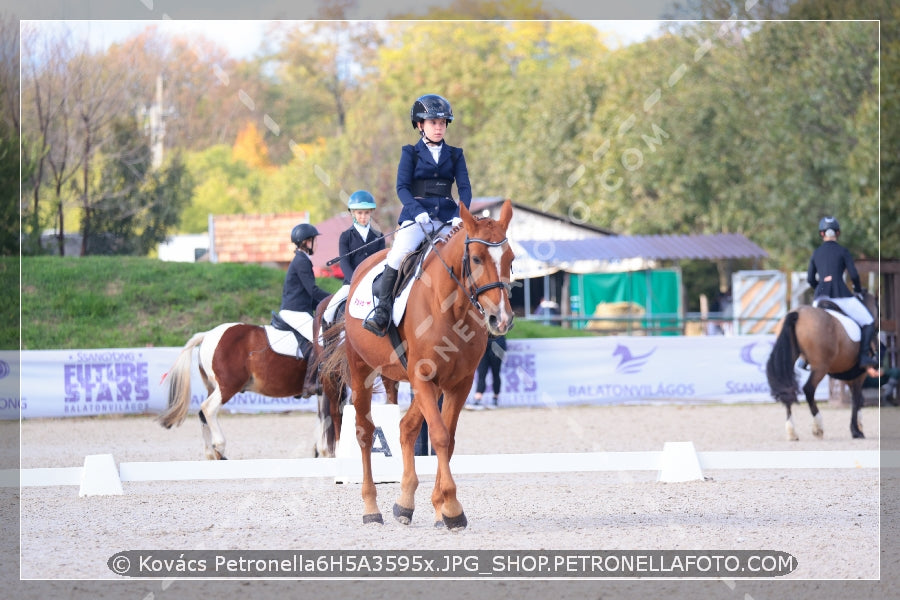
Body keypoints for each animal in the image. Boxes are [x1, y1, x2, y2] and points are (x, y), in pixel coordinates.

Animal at [160, 324, 314, 460]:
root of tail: (207, 334)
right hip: (228, 386)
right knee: (208, 408)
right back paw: (219, 448)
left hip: (213, 387)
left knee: (202, 414)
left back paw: (210, 453)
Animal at [318, 198, 512, 528]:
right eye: (475, 258)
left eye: (510, 258)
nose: (501, 319)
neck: (451, 308)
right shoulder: (423, 376)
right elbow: (439, 436)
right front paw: (453, 509)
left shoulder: (459, 383)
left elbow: (447, 438)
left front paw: (442, 507)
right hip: (362, 371)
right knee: (365, 432)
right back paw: (372, 508)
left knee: (406, 428)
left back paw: (405, 504)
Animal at [768, 292, 880, 440]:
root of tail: (798, 313)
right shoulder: (859, 375)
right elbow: (856, 399)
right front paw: (856, 431)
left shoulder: (848, 375)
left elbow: (858, 399)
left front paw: (858, 426)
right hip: (820, 368)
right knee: (809, 389)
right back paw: (818, 427)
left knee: (788, 390)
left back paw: (792, 432)